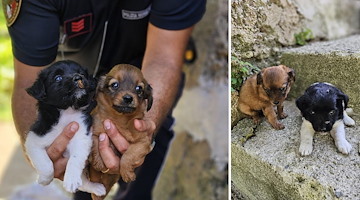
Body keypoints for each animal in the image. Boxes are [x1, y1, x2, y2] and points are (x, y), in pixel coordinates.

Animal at [25, 60, 105, 195]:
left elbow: (75, 159)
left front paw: (71, 180)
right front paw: (44, 180)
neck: (67, 111)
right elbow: (46, 165)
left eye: (81, 73)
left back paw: (96, 188)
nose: (78, 77)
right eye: (58, 78)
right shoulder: (34, 140)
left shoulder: (82, 137)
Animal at [89, 64, 153, 200]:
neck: (120, 119)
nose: (128, 98)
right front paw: (99, 163)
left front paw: (127, 173)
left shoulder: (143, 142)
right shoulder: (93, 130)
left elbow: (128, 155)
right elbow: (96, 143)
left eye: (139, 88)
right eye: (115, 85)